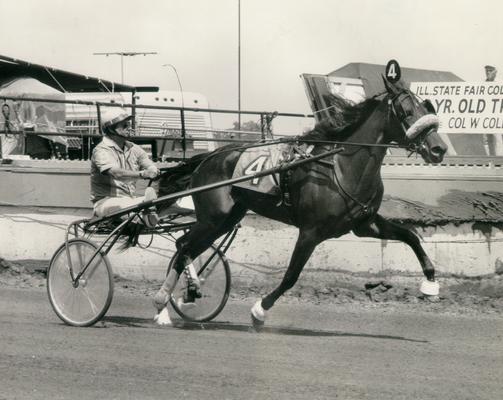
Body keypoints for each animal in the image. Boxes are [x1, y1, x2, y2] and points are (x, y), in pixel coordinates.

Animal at [152, 76, 446, 326]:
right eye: (406, 111)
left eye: (426, 106)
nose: (439, 149)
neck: (341, 167)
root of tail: (208, 158)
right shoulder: (310, 231)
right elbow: (291, 276)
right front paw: (259, 310)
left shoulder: (365, 225)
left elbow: (411, 236)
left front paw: (430, 282)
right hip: (214, 217)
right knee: (183, 245)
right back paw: (162, 304)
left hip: (227, 218)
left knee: (186, 246)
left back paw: (187, 293)